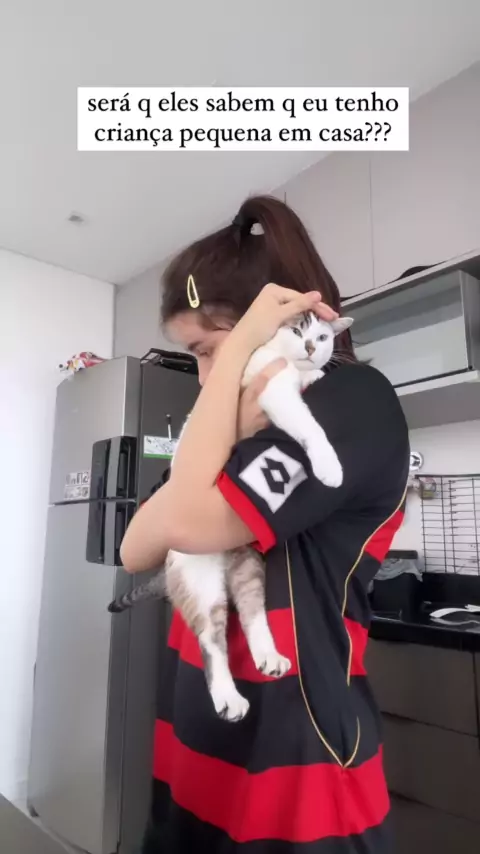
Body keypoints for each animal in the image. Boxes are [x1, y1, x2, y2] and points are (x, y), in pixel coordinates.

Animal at [108, 312, 353, 722]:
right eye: (296, 330)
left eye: (321, 337)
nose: (309, 347)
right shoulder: (273, 389)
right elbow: (309, 426)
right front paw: (330, 467)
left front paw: (316, 373)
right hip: (202, 585)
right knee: (212, 644)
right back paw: (229, 699)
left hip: (248, 567)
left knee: (253, 616)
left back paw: (270, 658)